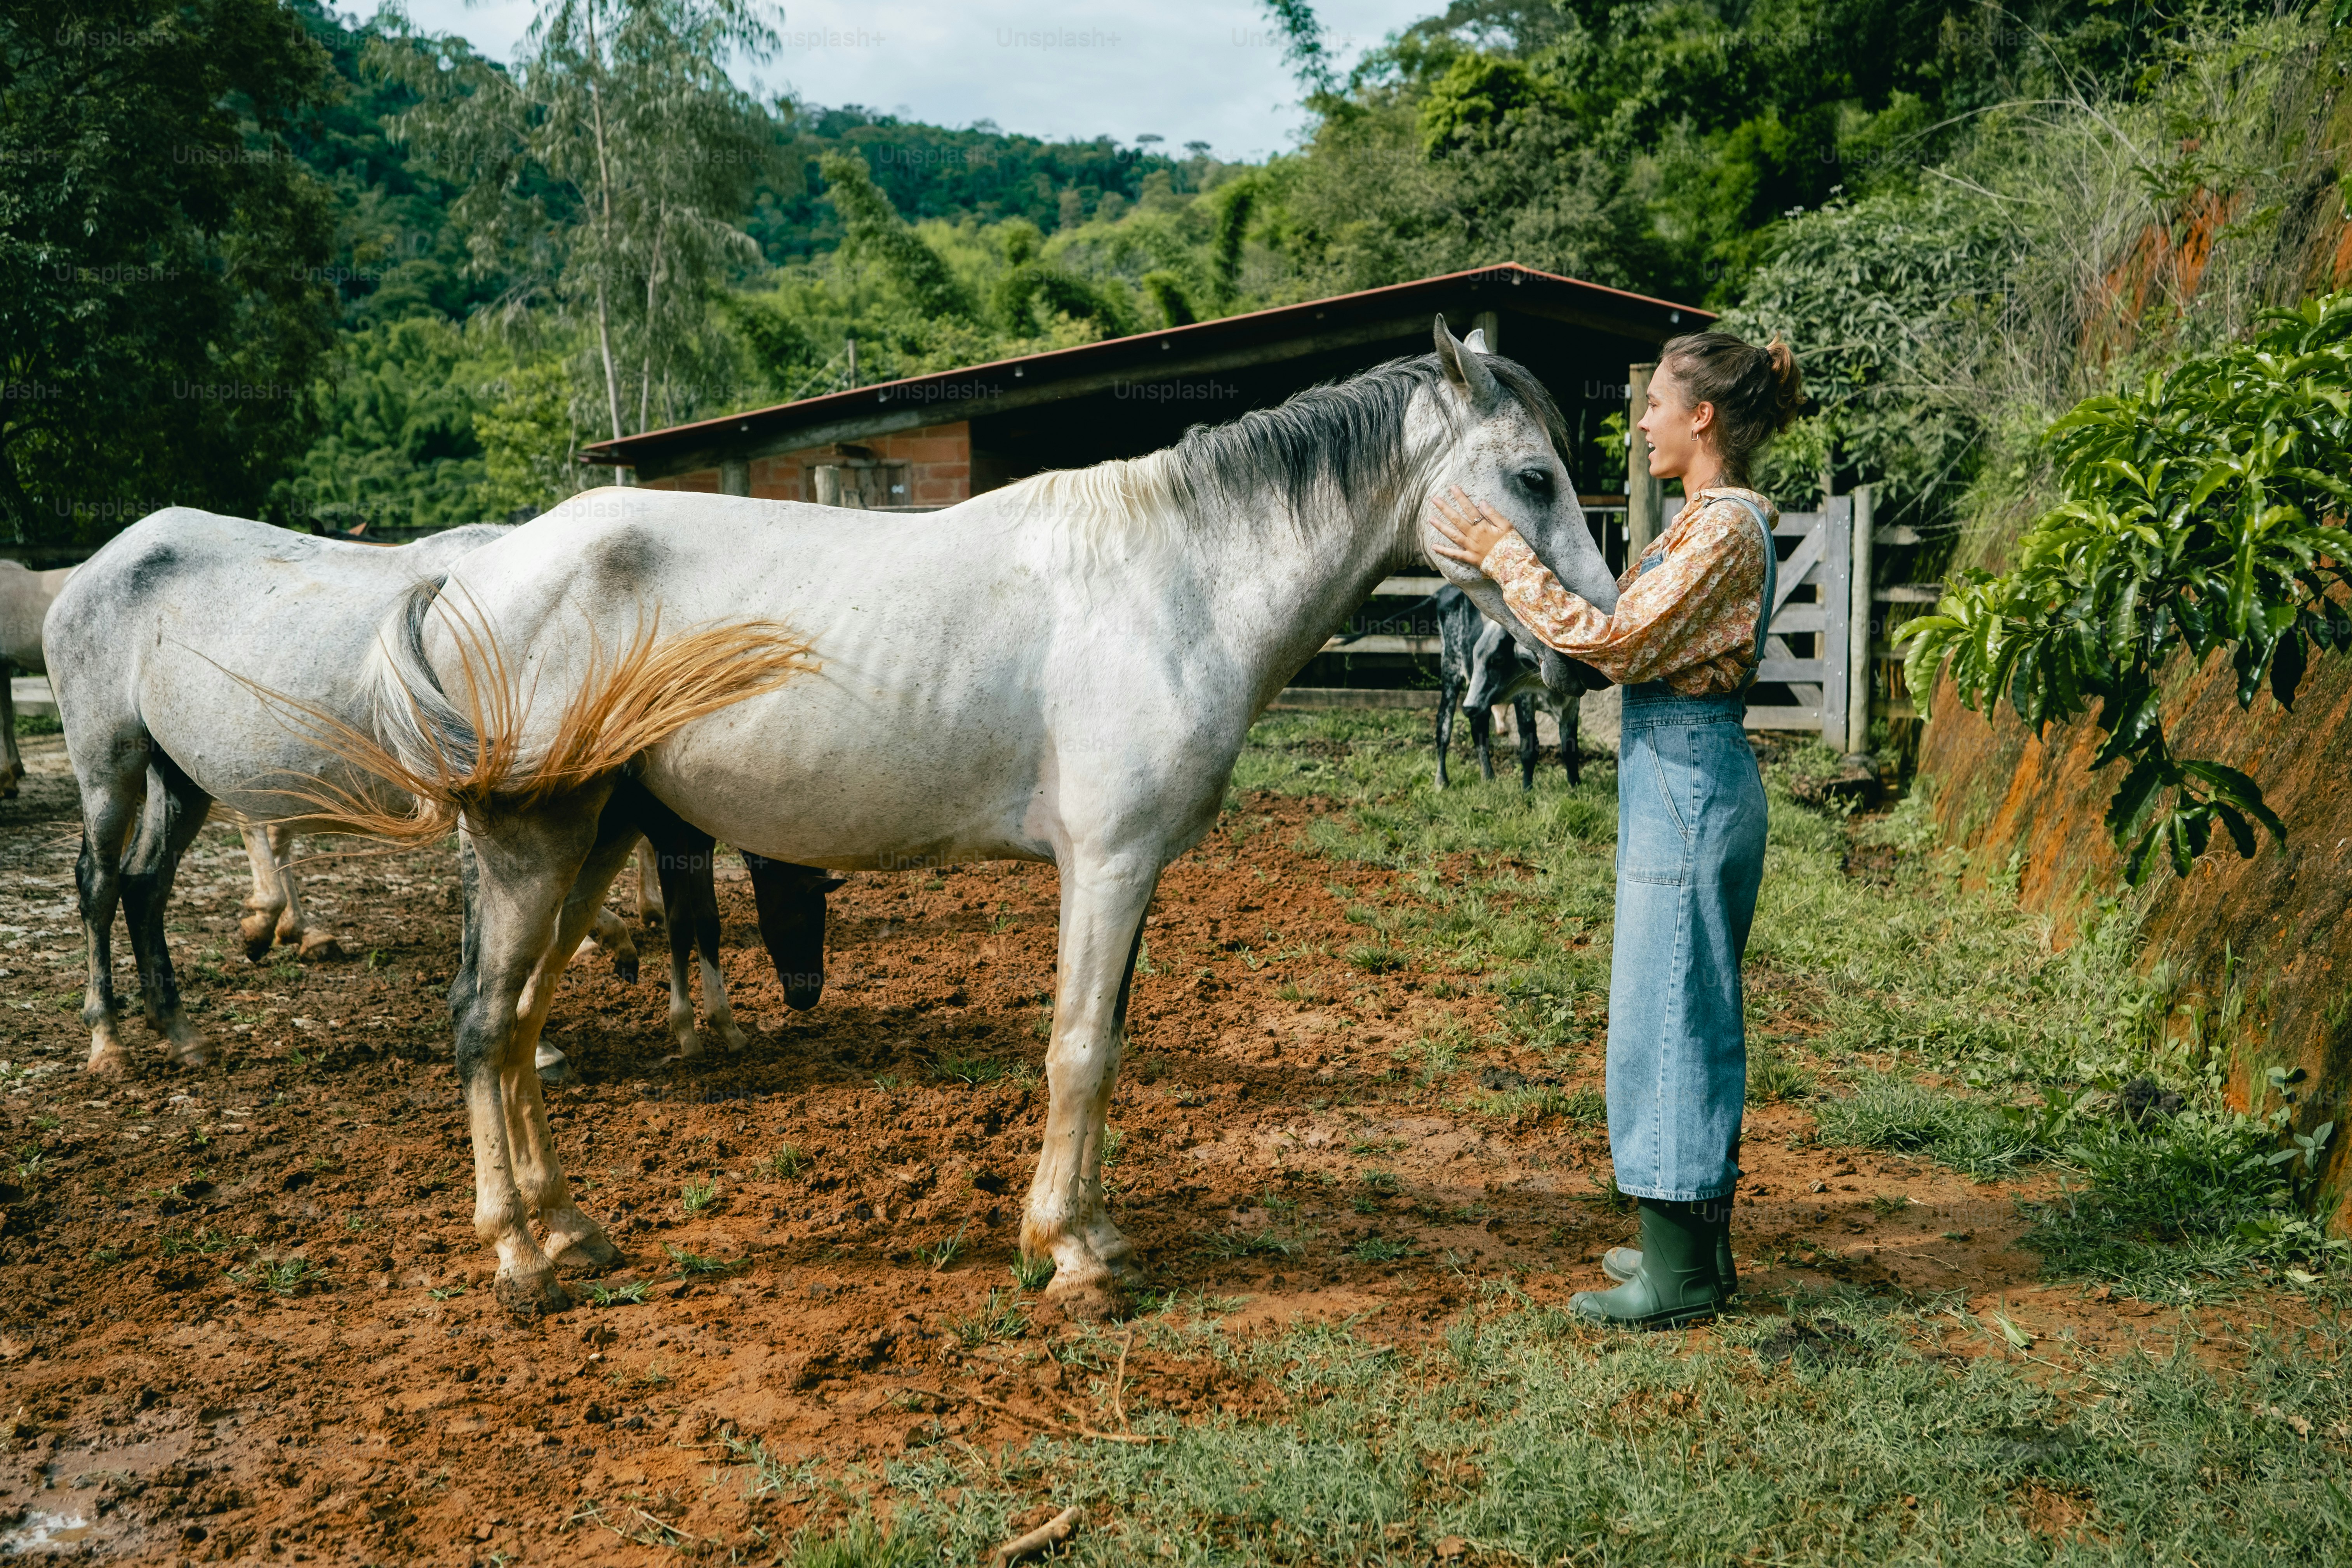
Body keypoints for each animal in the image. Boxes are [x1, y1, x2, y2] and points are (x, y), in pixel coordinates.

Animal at [41, 512, 805, 1078]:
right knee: (99, 884)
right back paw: (108, 1042)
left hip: (179, 778)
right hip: (109, 768)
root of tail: (88, 573)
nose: (803, 990)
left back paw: (181, 1031)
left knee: (146, 885)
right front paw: (544, 1037)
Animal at [323, 319, 1619, 1318]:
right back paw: (519, 1255)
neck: (1180, 582)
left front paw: (1089, 1230)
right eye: (1533, 478)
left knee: (521, 1022)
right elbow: (1079, 1048)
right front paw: (1071, 1257)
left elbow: (1104, 1045)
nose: (1588, 657)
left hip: (598, 834)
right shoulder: (1107, 862)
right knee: (484, 1022)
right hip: (536, 841)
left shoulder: (1131, 872)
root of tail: (469, 577)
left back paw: (569, 1227)